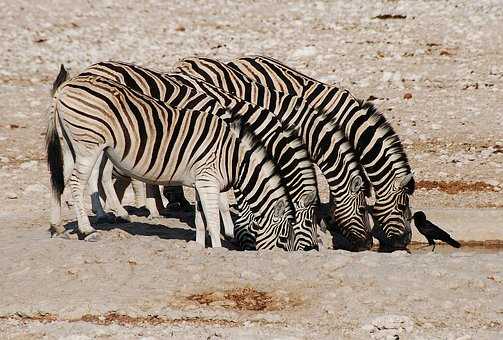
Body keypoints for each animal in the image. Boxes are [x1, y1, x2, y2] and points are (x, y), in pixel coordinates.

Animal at [45, 68, 298, 250]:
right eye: (285, 236)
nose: (283, 255)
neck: (233, 157)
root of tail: (66, 86)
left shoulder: (201, 182)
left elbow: (201, 218)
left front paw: (199, 246)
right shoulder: (208, 180)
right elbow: (213, 218)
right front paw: (218, 248)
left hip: (70, 143)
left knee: (60, 180)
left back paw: (57, 227)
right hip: (88, 144)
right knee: (77, 182)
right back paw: (87, 231)